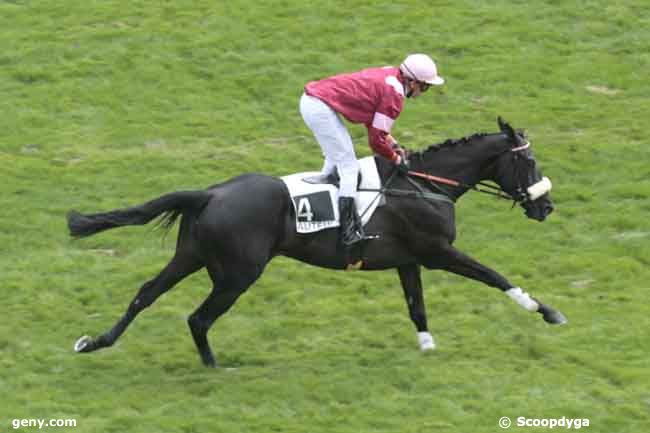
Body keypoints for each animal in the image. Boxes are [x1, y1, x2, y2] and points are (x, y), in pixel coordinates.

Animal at [71, 116, 564, 366]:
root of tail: (210, 193)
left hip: (191, 256)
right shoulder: (437, 252)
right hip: (237, 274)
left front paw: (426, 347)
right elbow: (494, 275)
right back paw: (212, 368)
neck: (424, 184)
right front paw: (547, 311)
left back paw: (95, 342)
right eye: (530, 161)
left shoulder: (409, 259)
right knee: (198, 318)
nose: (546, 206)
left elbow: (416, 306)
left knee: (145, 294)